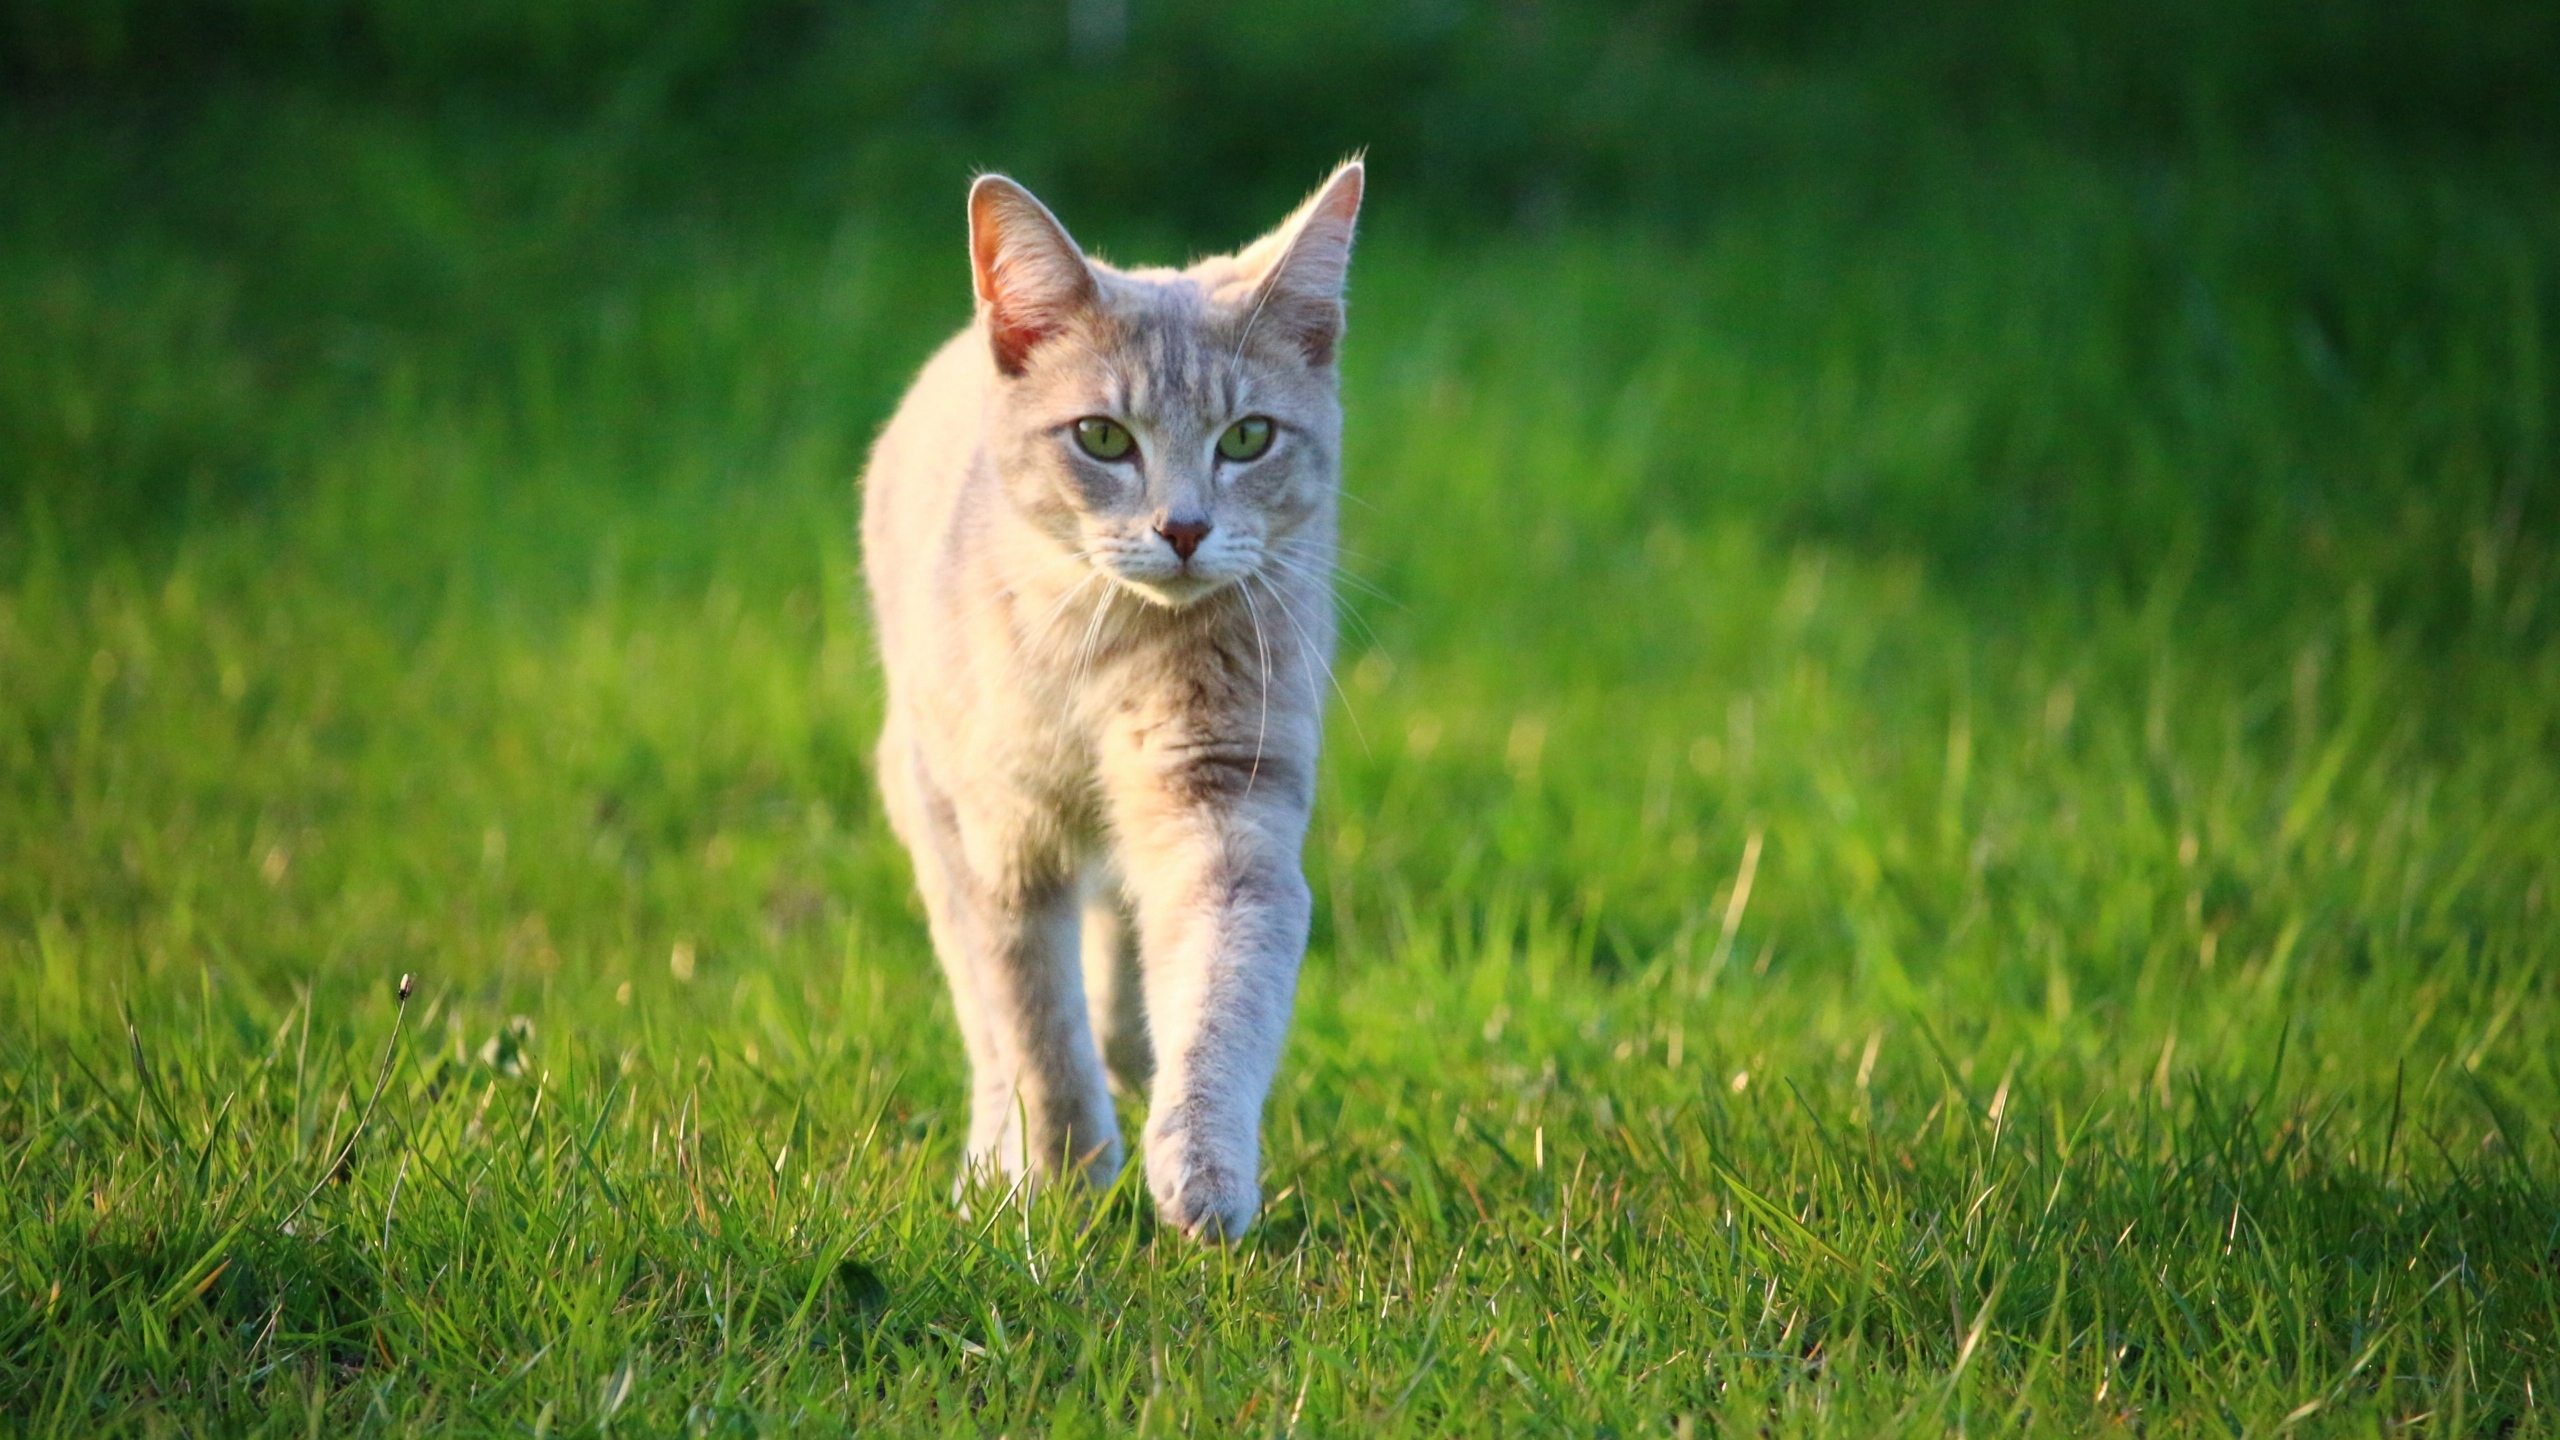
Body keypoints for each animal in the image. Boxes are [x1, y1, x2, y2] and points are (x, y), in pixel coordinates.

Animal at [860, 156, 1361, 1235]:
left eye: (1247, 438)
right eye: (1101, 436)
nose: (1183, 527)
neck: (1110, 655)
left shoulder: (1225, 804)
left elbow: (1221, 988)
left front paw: (1200, 1164)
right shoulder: (996, 839)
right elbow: (1029, 1021)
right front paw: (1059, 1174)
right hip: (920, 792)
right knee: (987, 1010)